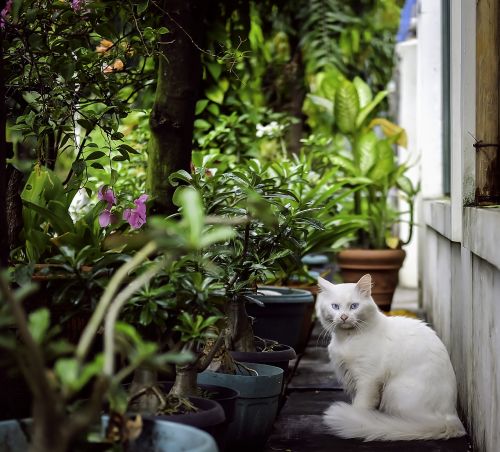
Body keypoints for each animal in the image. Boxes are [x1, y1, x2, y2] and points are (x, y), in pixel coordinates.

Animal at [316, 274, 464, 440]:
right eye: (335, 306)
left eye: (354, 306)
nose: (343, 317)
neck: (347, 339)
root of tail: (451, 417)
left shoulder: (368, 379)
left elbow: (361, 405)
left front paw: (355, 416)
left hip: (394, 390)